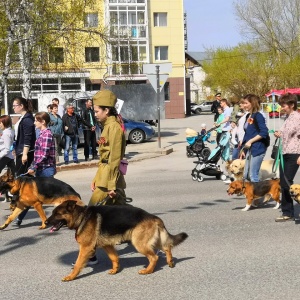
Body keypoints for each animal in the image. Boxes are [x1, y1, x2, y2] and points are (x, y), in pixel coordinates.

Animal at [46, 199, 189, 282]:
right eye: (52, 213)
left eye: (57, 214)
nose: (45, 222)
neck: (81, 216)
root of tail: (153, 217)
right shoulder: (108, 245)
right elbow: (114, 258)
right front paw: (115, 270)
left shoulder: (85, 248)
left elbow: (77, 264)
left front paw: (71, 277)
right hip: (150, 240)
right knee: (167, 247)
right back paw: (170, 262)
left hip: (139, 243)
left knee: (154, 257)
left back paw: (148, 271)